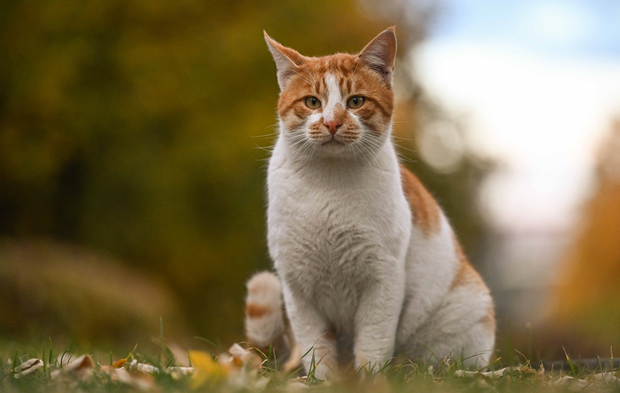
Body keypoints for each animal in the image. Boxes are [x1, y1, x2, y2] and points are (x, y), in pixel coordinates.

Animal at [245, 27, 496, 376]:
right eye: (312, 102)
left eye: (356, 101)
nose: (332, 123)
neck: (329, 185)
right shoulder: (298, 287)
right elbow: (317, 348)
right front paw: (323, 380)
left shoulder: (383, 280)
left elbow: (372, 344)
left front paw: (371, 379)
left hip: (464, 313)